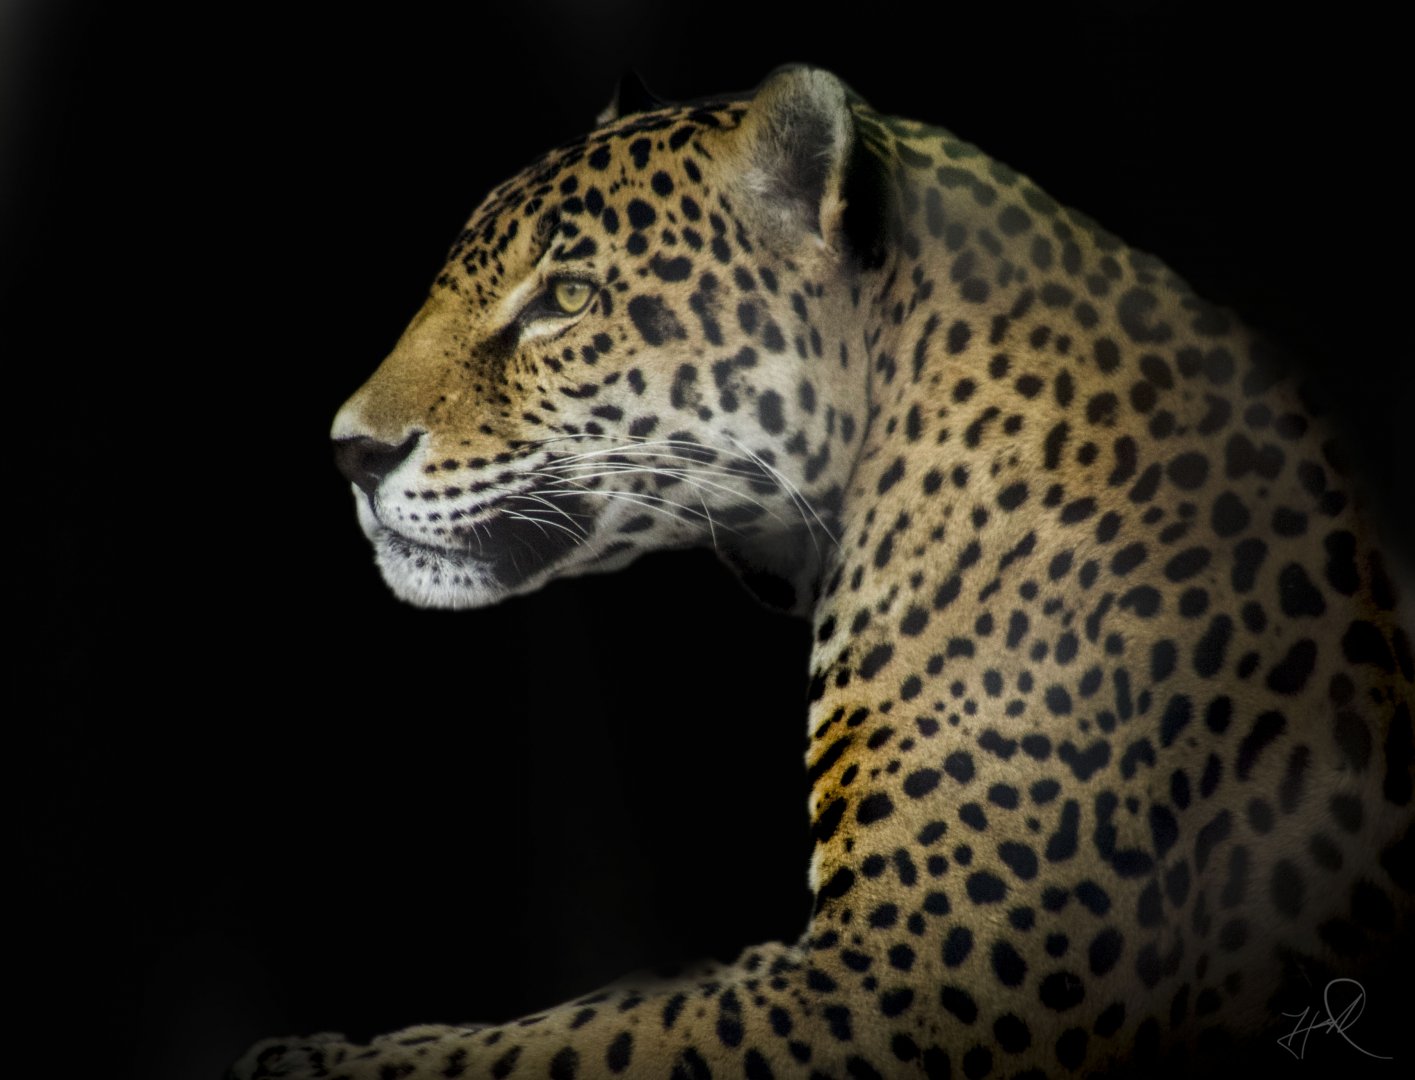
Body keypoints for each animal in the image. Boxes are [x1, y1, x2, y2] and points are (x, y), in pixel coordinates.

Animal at [234, 67, 1414, 1078]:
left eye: (565, 297)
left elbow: (580, 1047)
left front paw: (309, 1063)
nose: (349, 452)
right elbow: (602, 1011)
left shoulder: (905, 988)